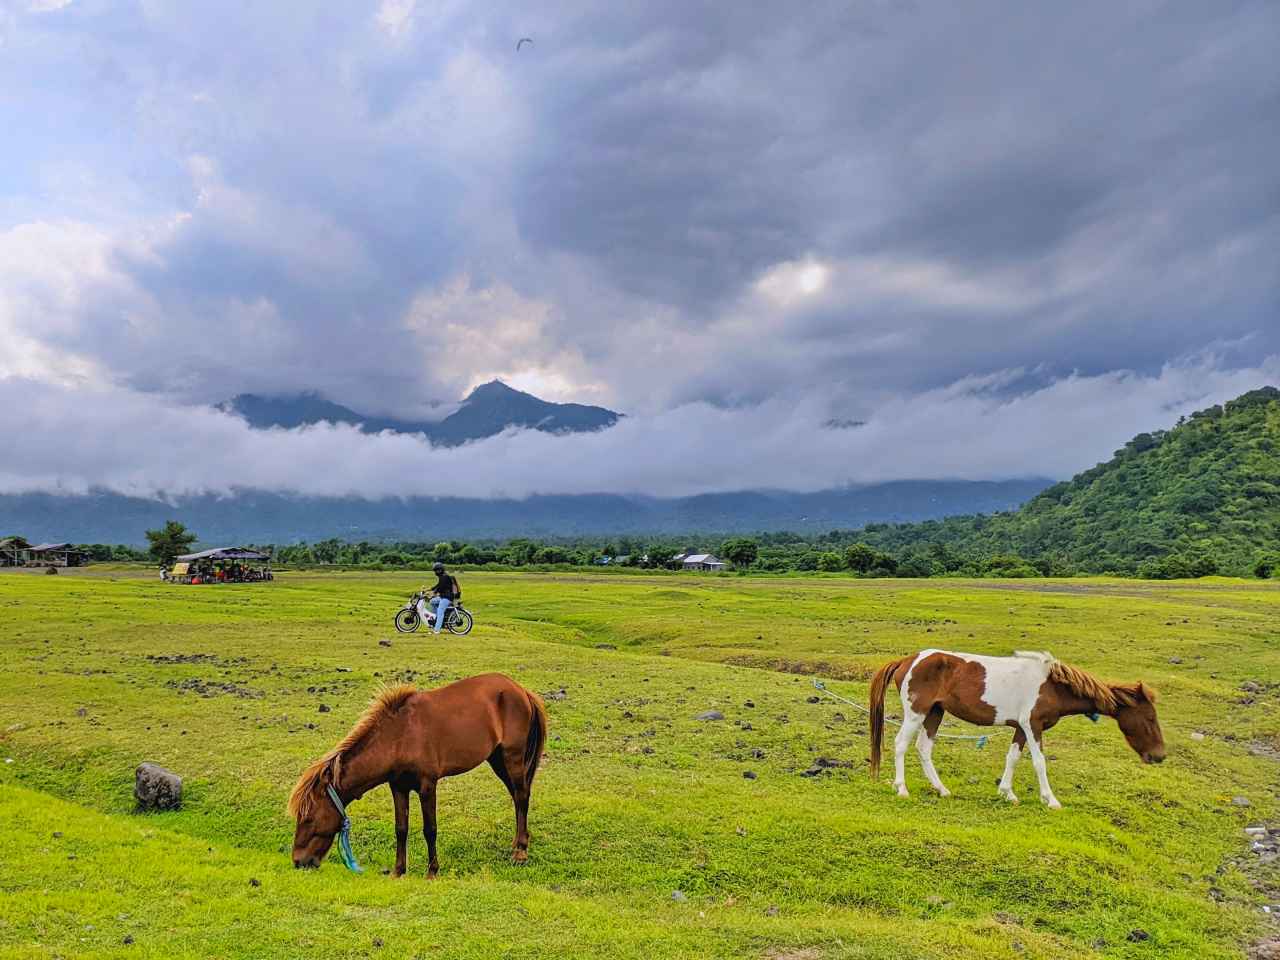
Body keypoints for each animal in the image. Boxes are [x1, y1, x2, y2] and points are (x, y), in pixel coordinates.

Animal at [288, 675, 547, 880]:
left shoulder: (427, 786)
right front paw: (398, 870)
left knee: (522, 796)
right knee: (517, 796)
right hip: (497, 759)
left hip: (512, 756)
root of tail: (521, 690)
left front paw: (432, 871)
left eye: (308, 818)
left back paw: (520, 851)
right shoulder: (398, 787)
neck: (400, 736)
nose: (298, 861)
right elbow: (401, 829)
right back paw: (517, 842)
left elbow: (429, 829)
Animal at [865, 650, 1167, 808]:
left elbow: (1013, 757)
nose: (1159, 756)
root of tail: (907, 660)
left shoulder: (1022, 727)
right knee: (901, 745)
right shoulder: (1033, 725)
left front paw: (1007, 793)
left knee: (924, 748)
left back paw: (942, 789)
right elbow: (1039, 762)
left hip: (935, 713)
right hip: (916, 713)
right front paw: (1050, 799)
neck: (1052, 686)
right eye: (1150, 718)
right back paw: (902, 788)